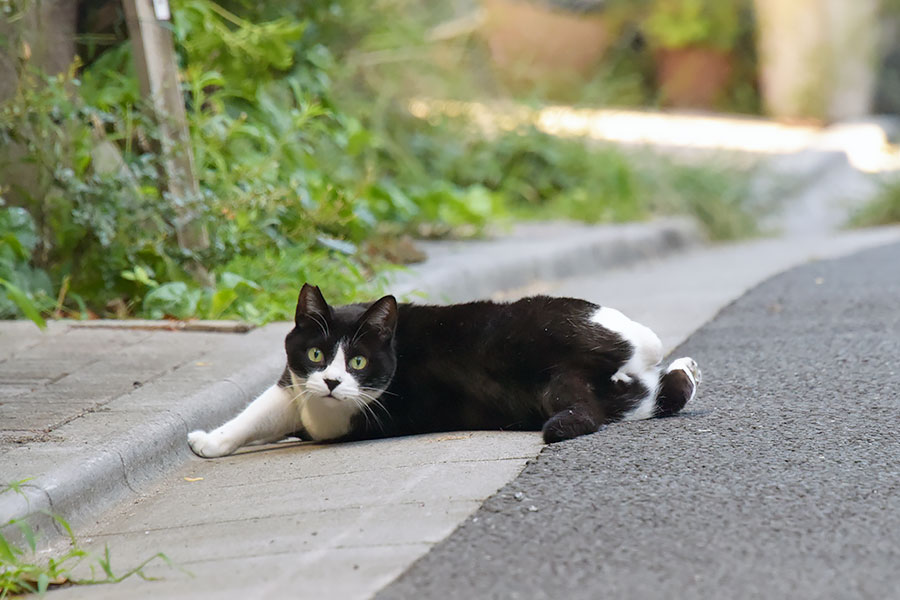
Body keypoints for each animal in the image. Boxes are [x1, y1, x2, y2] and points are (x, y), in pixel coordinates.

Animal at [186, 284, 700, 458]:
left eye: (358, 362)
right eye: (316, 355)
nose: (331, 380)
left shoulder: (338, 413)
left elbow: (285, 413)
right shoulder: (295, 384)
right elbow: (260, 411)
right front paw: (212, 442)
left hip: (559, 315)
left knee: (646, 340)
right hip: (588, 392)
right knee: (650, 392)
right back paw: (684, 373)